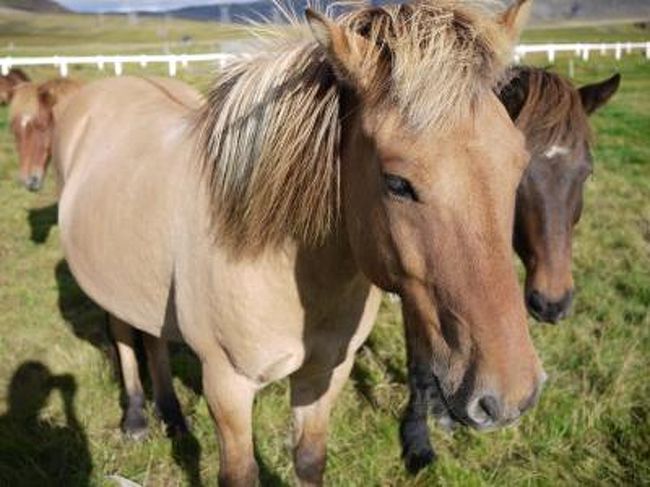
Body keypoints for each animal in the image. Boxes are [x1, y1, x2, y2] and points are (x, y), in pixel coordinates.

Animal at [54, 2, 540, 484]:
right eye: (397, 183)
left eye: (519, 163)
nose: (509, 399)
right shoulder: (226, 386)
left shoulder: (325, 373)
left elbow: (309, 458)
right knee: (122, 334)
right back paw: (137, 418)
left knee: (151, 337)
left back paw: (172, 415)